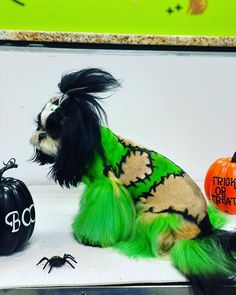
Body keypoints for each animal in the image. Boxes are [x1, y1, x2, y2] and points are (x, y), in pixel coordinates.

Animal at [30, 68, 236, 294]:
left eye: (55, 130)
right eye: (38, 124)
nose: (40, 135)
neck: (90, 144)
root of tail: (206, 227)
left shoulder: (108, 186)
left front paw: (91, 238)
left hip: (157, 216)